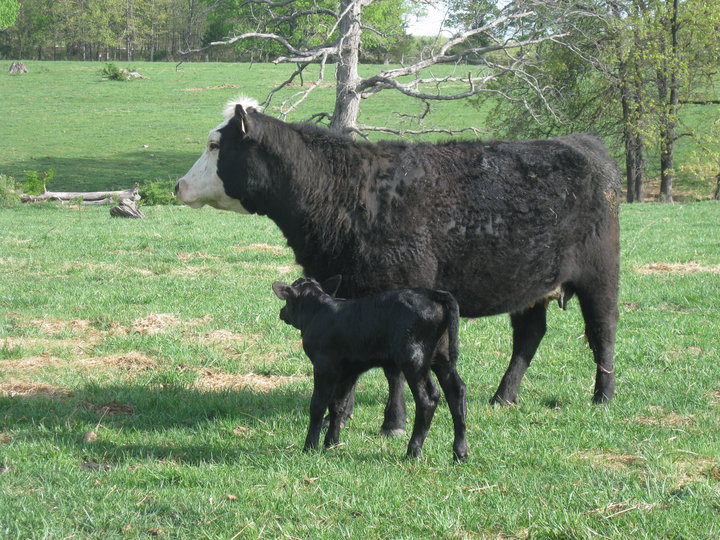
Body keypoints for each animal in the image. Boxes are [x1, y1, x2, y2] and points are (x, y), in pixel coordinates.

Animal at [175, 96, 621, 436]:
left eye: (215, 144)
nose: (178, 185)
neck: (345, 191)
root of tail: (582, 143)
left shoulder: (398, 295)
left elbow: (393, 372)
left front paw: (393, 422)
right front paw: (345, 410)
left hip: (600, 276)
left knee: (603, 331)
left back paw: (603, 396)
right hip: (530, 285)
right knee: (529, 336)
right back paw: (503, 397)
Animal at [272, 275, 468, 460]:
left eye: (287, 300)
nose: (281, 312)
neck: (318, 313)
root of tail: (431, 294)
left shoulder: (324, 367)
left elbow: (318, 405)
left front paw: (310, 447)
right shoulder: (348, 372)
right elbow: (338, 405)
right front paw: (332, 443)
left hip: (414, 360)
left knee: (428, 398)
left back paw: (413, 452)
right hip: (442, 358)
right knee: (456, 391)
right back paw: (460, 452)